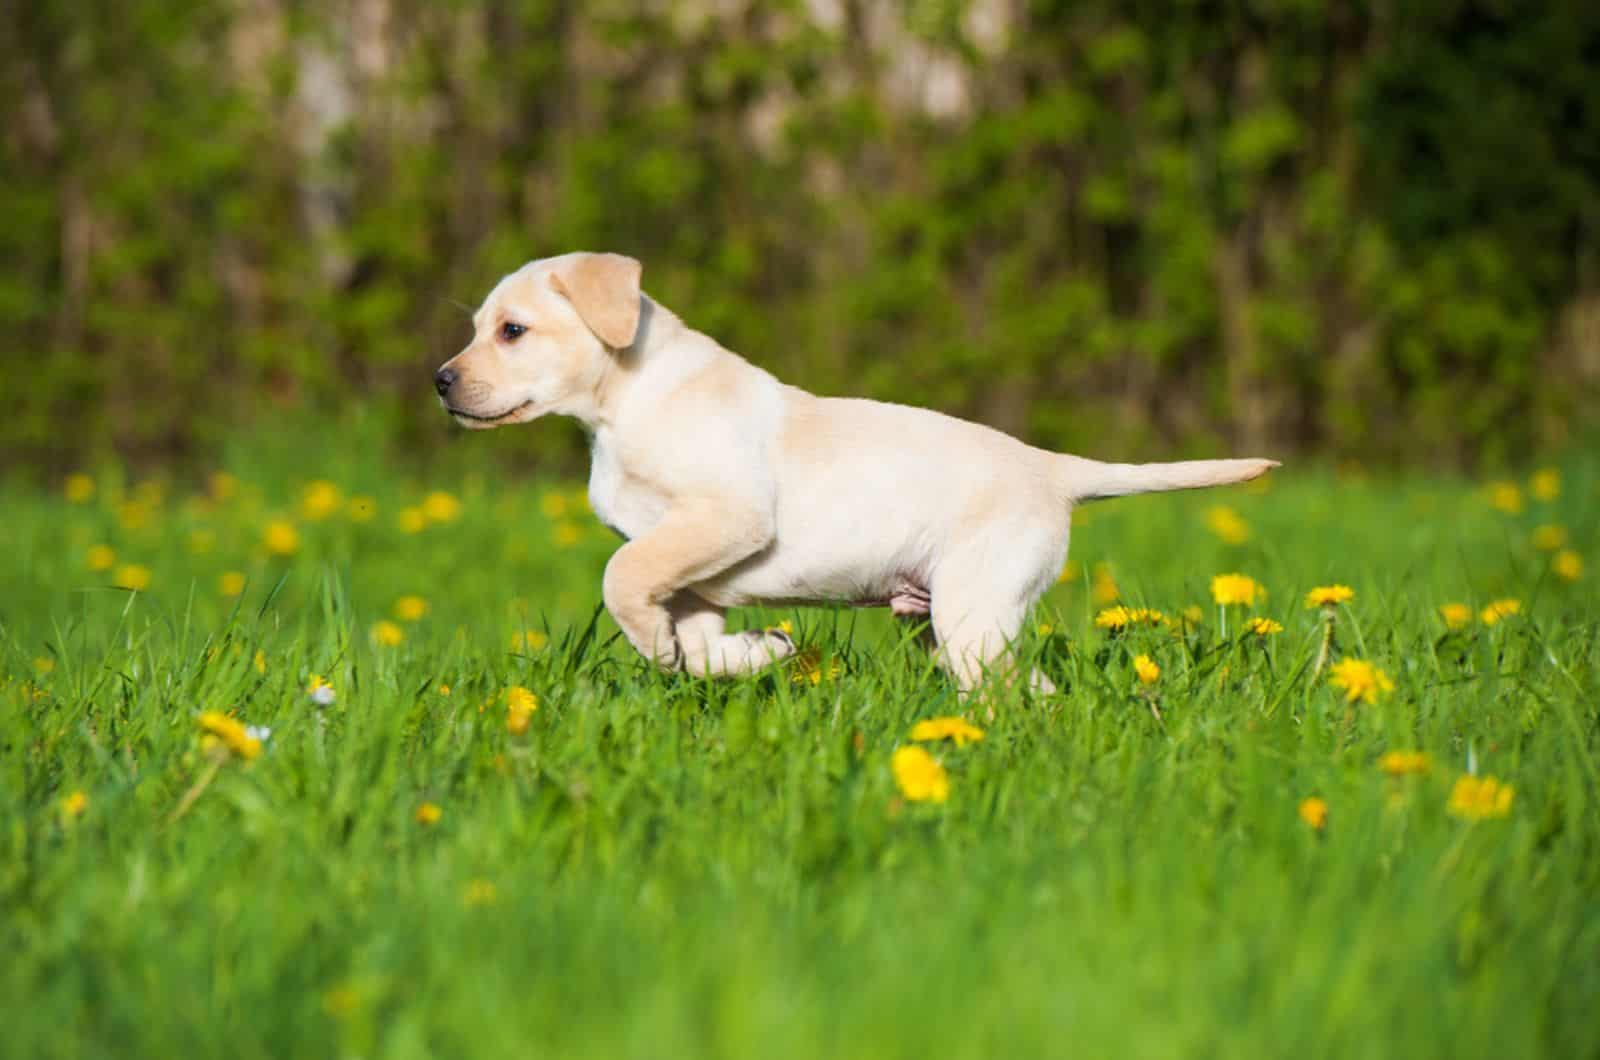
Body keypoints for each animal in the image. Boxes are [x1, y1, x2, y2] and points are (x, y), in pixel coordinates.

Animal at [435, 252, 1273, 694]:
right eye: (478, 328)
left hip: (973, 615)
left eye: (512, 332)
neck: (624, 401)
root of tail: (1053, 468)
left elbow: (621, 577)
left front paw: (678, 649)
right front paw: (754, 653)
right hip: (950, 621)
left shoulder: (725, 517)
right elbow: (692, 641)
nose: (440, 382)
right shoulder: (696, 575)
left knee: (1017, 690)